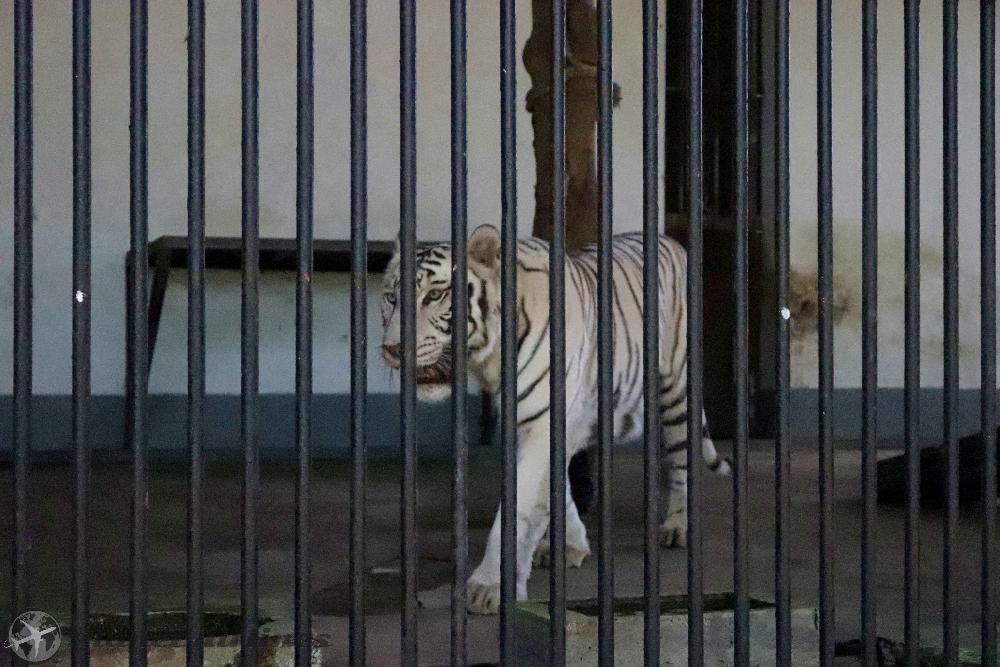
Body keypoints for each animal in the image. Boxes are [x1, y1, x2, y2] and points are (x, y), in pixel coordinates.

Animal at [379, 224, 732, 615]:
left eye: (436, 295)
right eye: (391, 298)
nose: (392, 349)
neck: (489, 361)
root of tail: (671, 241)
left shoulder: (542, 423)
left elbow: (517, 509)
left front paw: (488, 586)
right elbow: (553, 490)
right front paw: (569, 545)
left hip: (676, 392)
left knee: (682, 461)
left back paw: (677, 526)